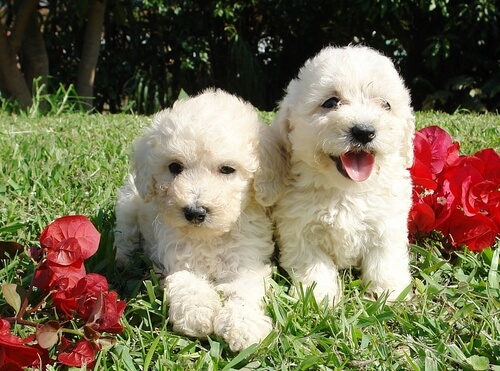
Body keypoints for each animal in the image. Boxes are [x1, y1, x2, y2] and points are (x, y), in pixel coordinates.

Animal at [114, 88, 286, 354]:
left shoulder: (247, 259)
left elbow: (245, 291)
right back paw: (124, 261)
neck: (210, 236)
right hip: (129, 204)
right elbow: (187, 282)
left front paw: (244, 328)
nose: (194, 211)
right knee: (125, 236)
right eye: (175, 167)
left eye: (227, 169)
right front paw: (197, 315)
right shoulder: (177, 256)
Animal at [272, 45, 416, 306]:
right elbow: (314, 265)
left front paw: (389, 292)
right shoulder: (299, 229)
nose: (364, 131)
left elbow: (385, 259)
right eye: (330, 102)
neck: (346, 190)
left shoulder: (387, 223)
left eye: (386, 105)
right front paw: (319, 297)